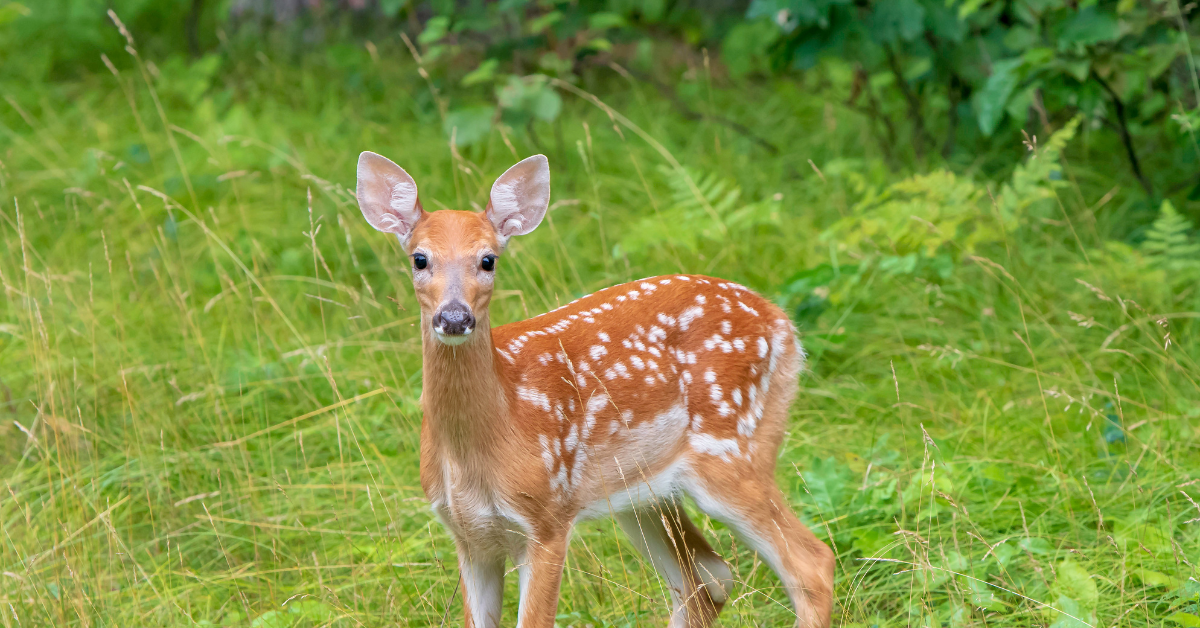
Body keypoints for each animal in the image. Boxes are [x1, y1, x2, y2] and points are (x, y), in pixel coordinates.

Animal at [355, 151, 835, 628]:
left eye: (488, 259)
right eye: (420, 259)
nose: (455, 317)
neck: (494, 431)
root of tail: (782, 323)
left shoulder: (548, 517)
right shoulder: (469, 535)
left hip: (732, 451)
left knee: (812, 564)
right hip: (644, 493)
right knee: (707, 577)